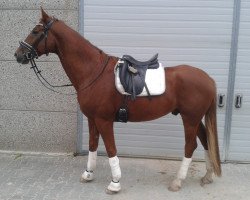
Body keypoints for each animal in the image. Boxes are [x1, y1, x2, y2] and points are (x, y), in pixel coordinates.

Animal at [14, 9, 221, 194]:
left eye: (35, 31)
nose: (18, 54)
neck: (93, 72)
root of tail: (209, 79)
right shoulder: (92, 119)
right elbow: (92, 145)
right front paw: (88, 174)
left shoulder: (104, 120)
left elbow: (111, 149)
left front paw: (115, 183)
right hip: (195, 118)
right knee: (205, 141)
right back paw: (207, 176)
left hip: (190, 118)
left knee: (190, 146)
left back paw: (178, 181)